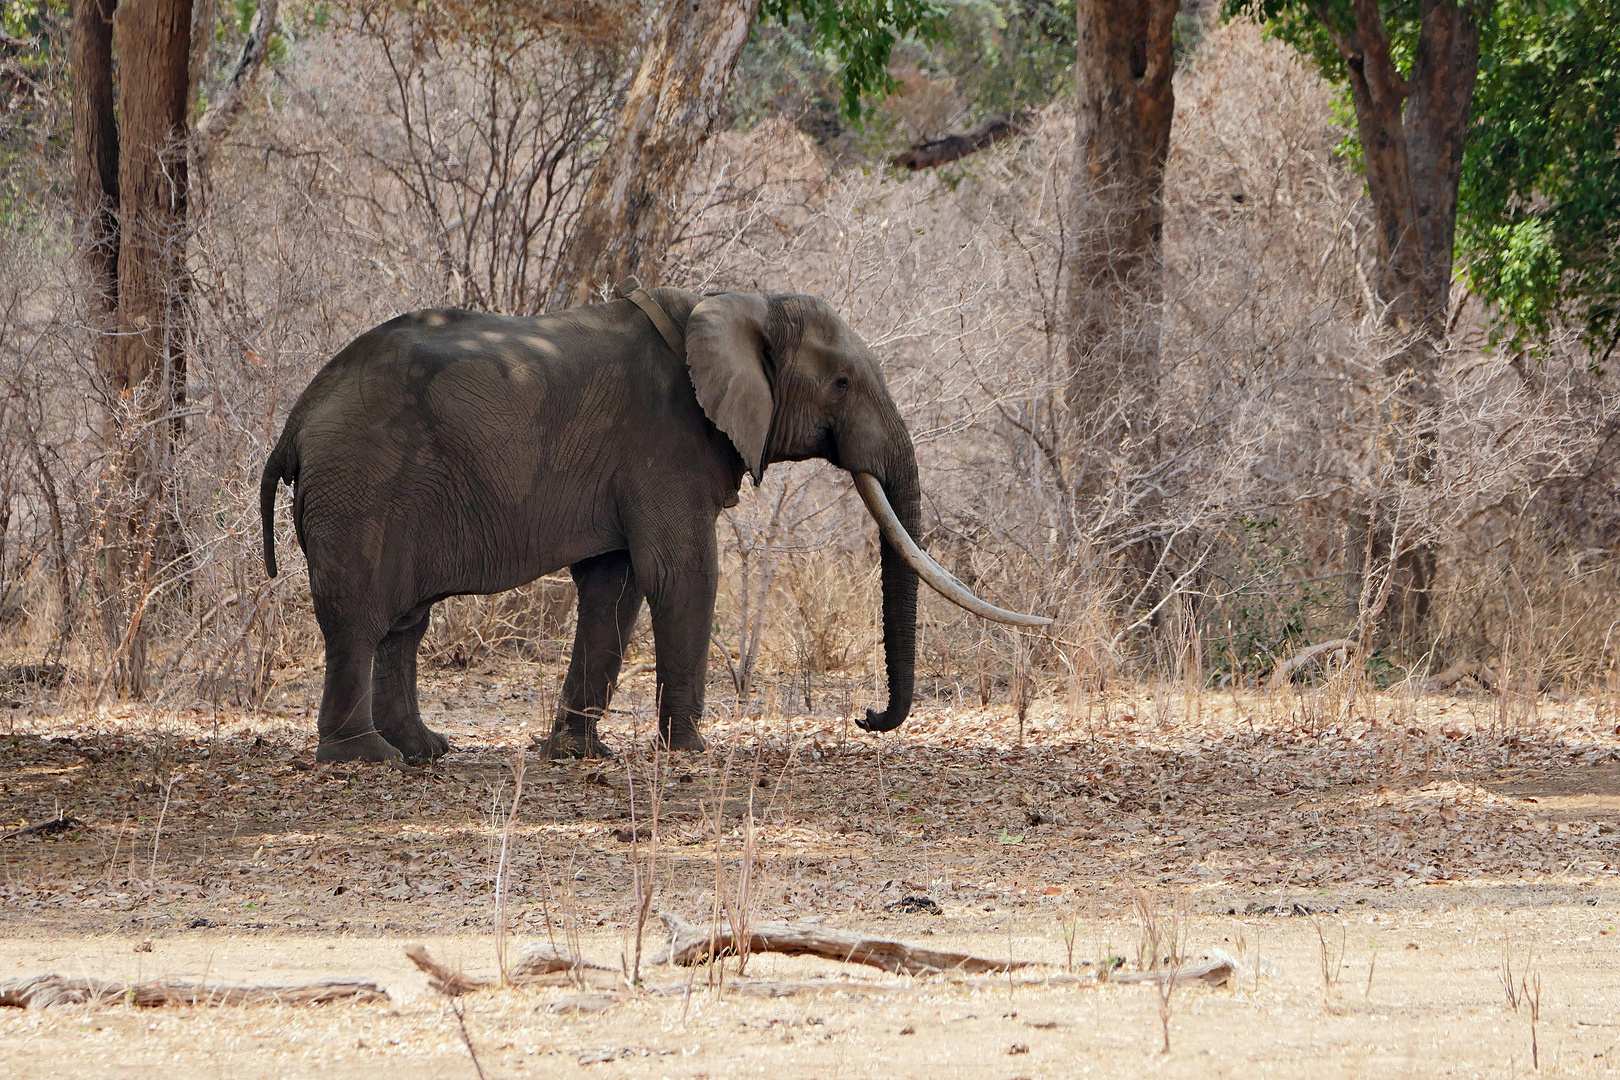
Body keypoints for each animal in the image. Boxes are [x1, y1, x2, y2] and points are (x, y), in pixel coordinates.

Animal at [262, 283, 1049, 764]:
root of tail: (298, 418)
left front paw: (577, 756)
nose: (863, 716)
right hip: (362, 483)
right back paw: (365, 757)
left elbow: (615, 587)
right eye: (842, 383)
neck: (729, 303)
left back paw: (426, 750)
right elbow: (683, 573)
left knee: (405, 622)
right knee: (359, 616)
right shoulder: (664, 443)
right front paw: (692, 752)